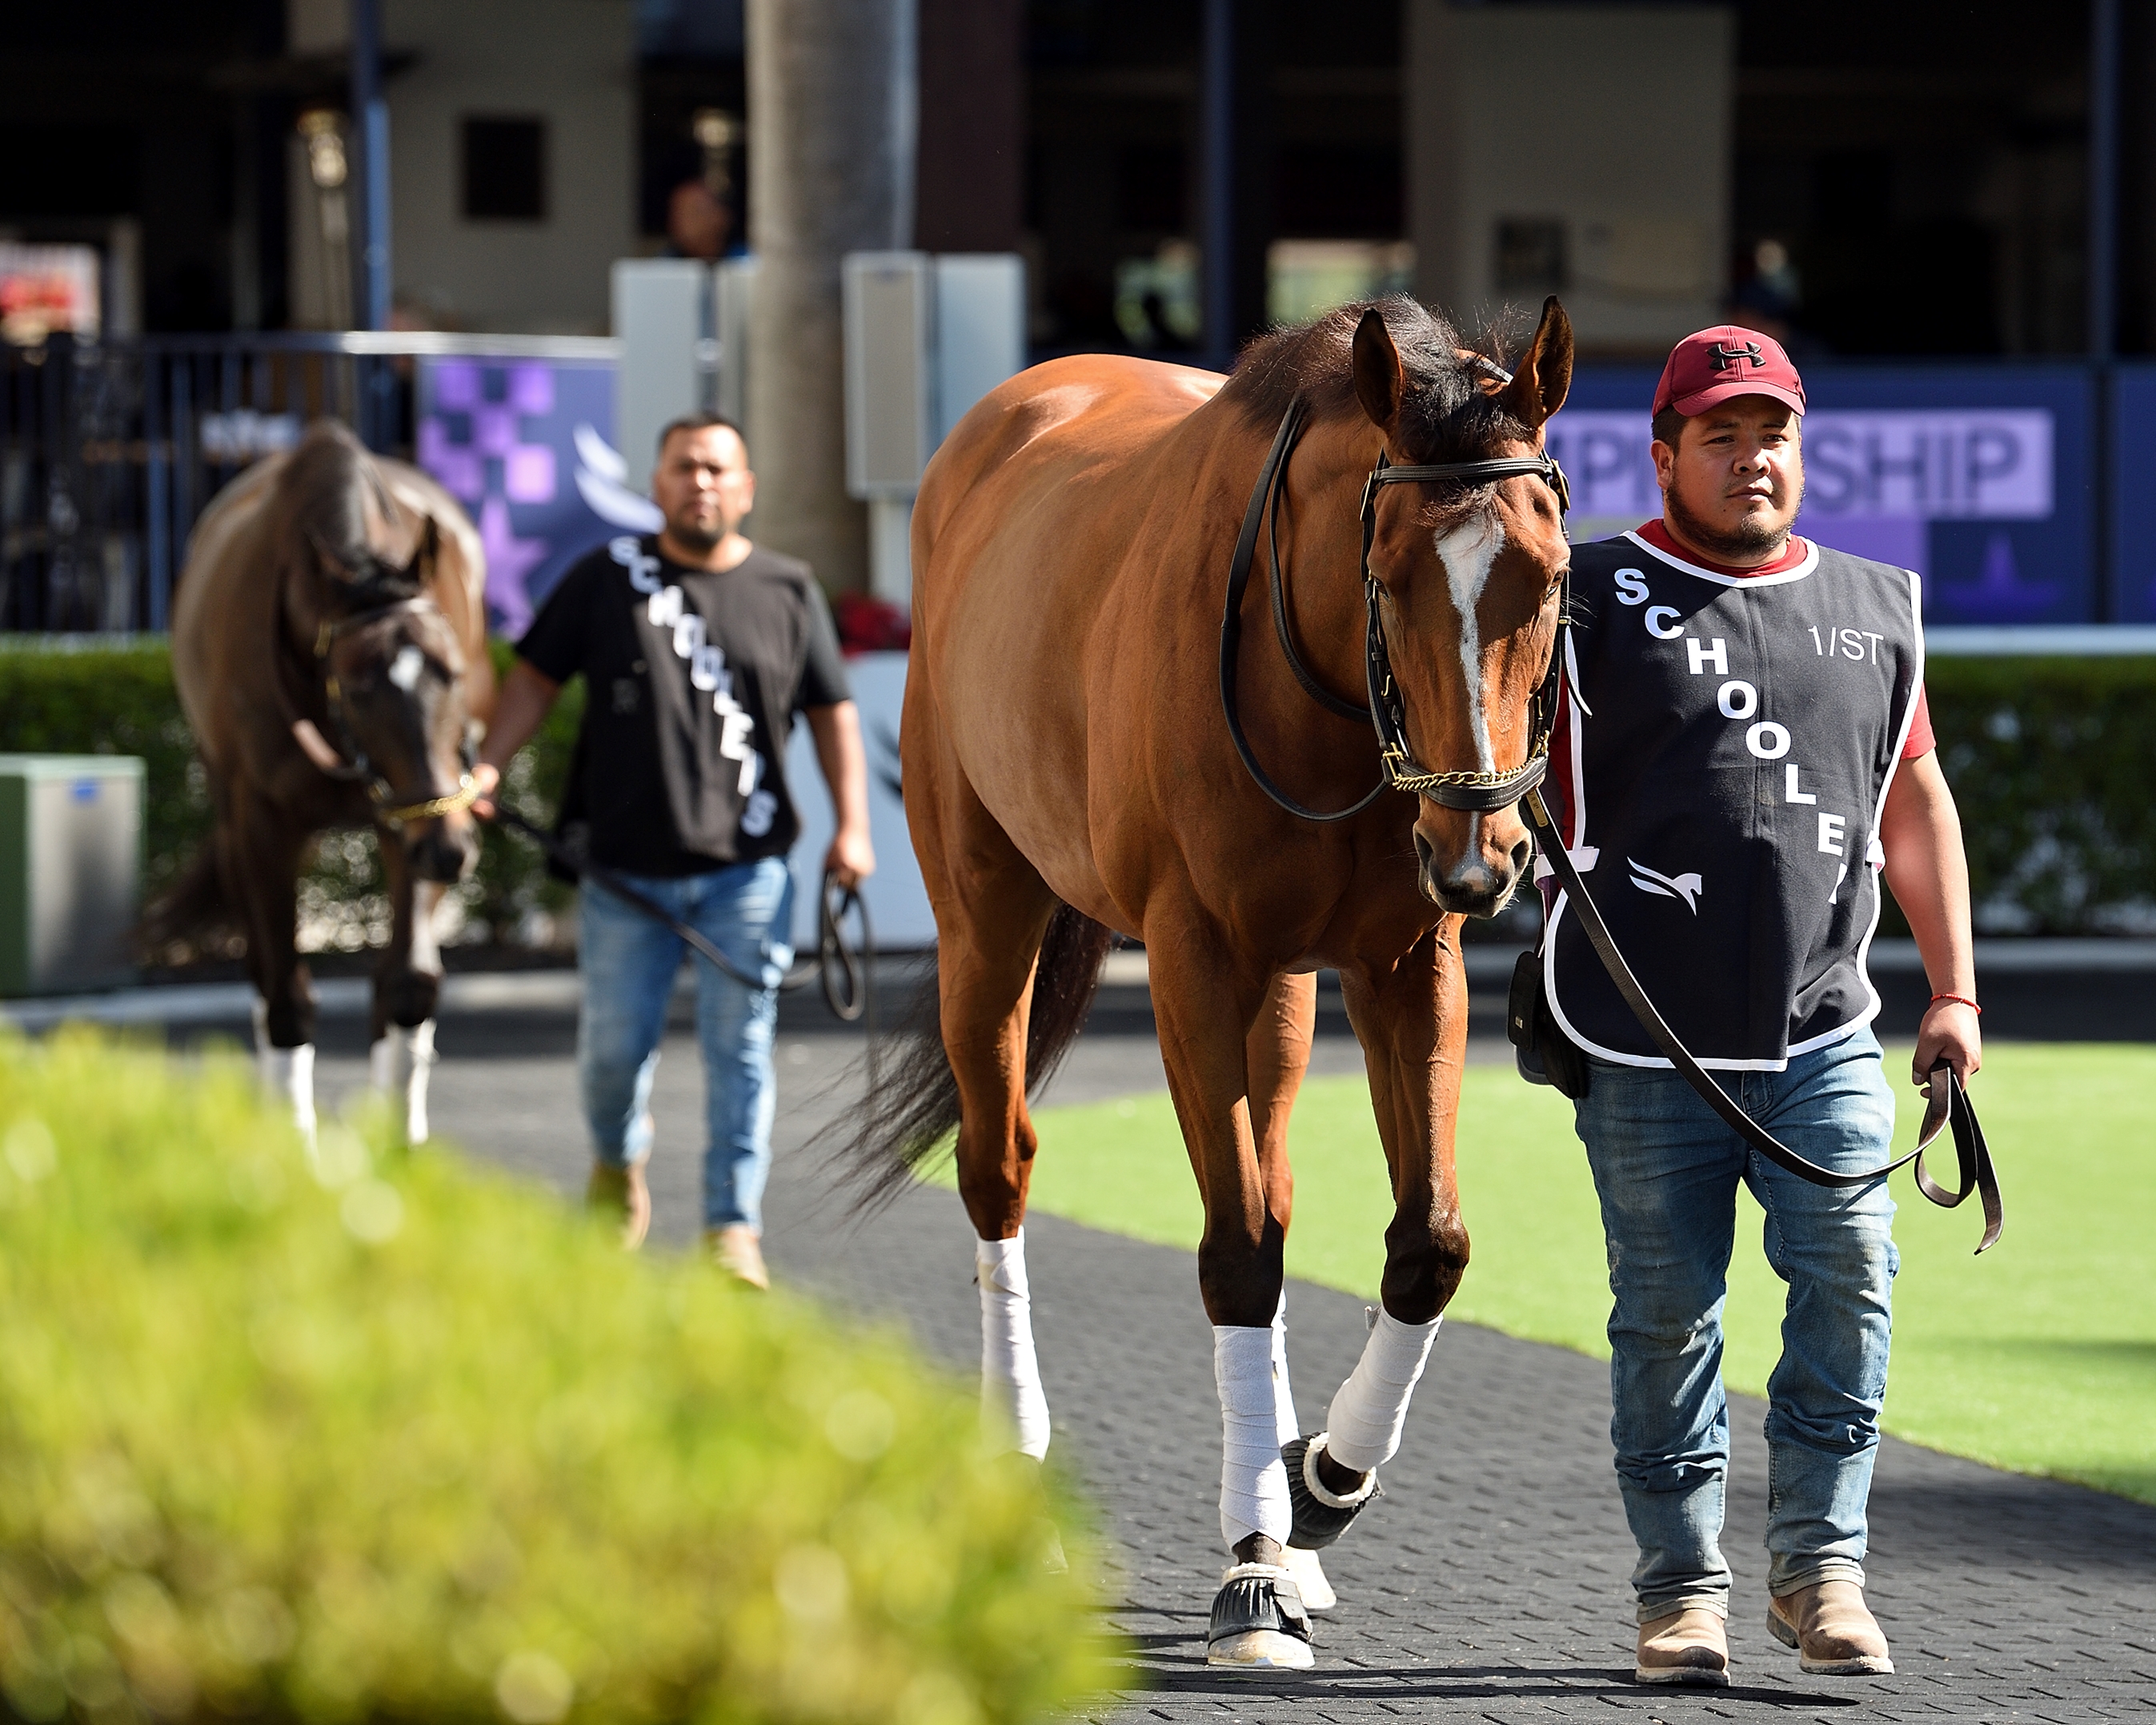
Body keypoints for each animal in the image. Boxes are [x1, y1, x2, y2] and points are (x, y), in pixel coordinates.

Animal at [160, 420, 495, 1147]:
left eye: (454, 671)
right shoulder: (261, 820)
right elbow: (285, 991)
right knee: (266, 975)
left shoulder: (412, 814)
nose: (451, 851)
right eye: (360, 686)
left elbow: (409, 982)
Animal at [849, 299, 1578, 1673]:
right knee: (999, 1163)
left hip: (1283, 986)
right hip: (986, 909)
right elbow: (1238, 1251)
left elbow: (1427, 1243)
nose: (1484, 848)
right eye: (1388, 570)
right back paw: (1023, 1472)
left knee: (1277, 1171)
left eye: (1550, 574)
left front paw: (1317, 1483)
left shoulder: (1403, 958)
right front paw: (1251, 1568)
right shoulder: (1191, 953)